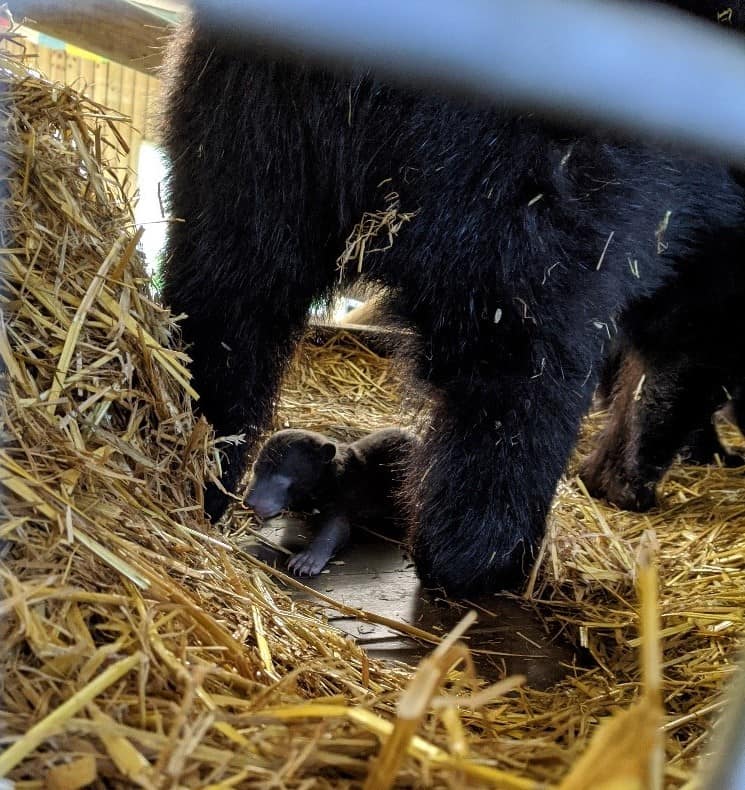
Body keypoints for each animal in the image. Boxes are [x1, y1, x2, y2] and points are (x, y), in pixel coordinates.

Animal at [247, 426, 416, 576]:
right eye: (255, 469)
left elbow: (335, 528)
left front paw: (305, 562)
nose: (249, 503)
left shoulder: (344, 495)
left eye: (280, 480)